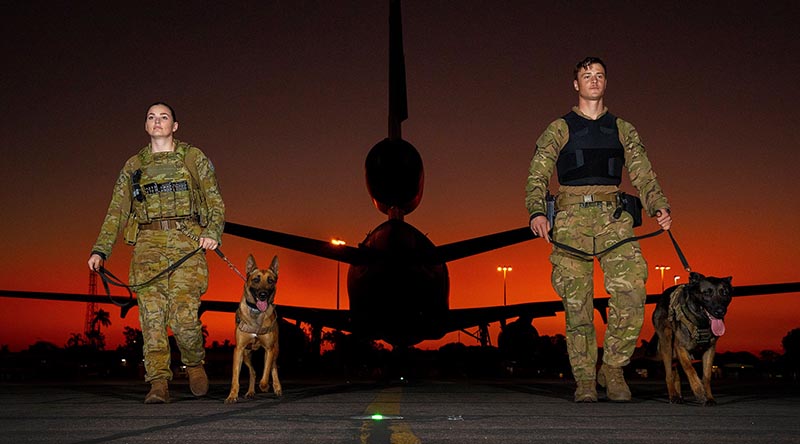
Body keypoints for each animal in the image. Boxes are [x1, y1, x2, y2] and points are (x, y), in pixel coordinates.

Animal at [225, 255, 284, 404]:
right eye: (256, 279)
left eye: (270, 281)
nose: (263, 294)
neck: (256, 312)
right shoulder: (239, 349)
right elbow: (235, 377)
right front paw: (232, 395)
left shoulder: (269, 349)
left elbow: (266, 372)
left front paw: (265, 386)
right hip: (246, 354)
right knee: (253, 372)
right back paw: (250, 391)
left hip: (275, 349)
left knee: (273, 367)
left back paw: (276, 387)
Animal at [648, 270, 732, 406]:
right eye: (707, 293)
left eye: (725, 293)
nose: (720, 311)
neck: (701, 322)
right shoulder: (681, 348)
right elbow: (690, 369)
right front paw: (699, 391)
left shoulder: (710, 350)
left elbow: (706, 376)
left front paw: (709, 397)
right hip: (667, 344)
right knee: (669, 374)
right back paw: (673, 395)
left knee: (675, 372)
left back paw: (679, 395)